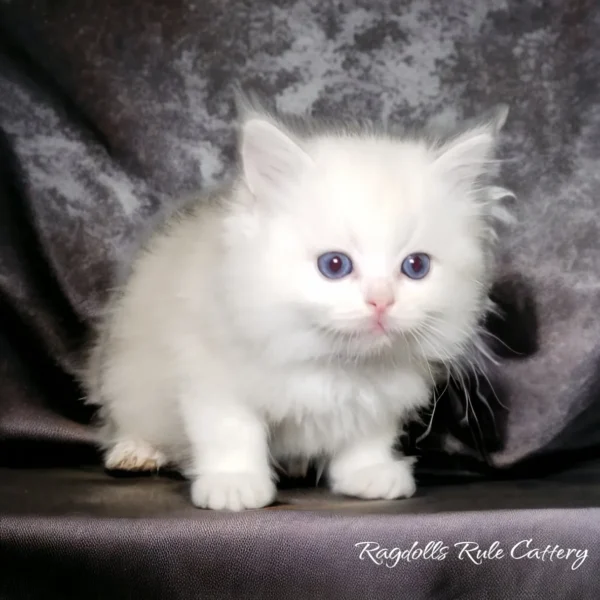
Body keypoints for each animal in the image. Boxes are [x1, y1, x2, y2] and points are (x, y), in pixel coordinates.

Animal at [84, 99, 510, 510]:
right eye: (334, 265)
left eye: (416, 266)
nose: (381, 301)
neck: (332, 362)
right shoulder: (212, 376)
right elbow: (233, 434)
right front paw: (234, 486)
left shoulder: (378, 400)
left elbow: (366, 438)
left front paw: (368, 475)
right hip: (125, 374)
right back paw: (135, 452)